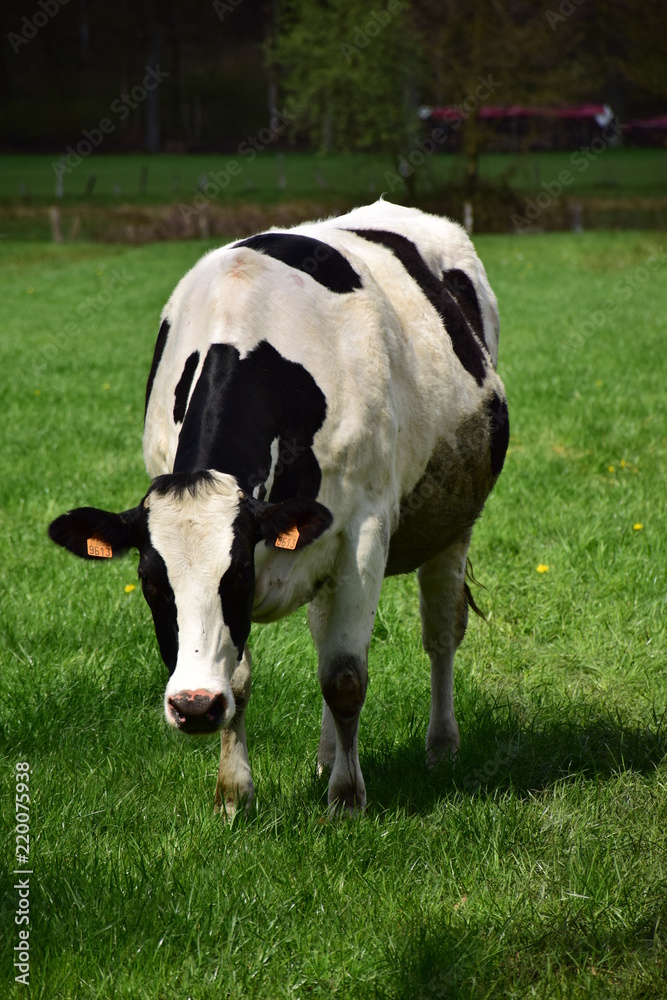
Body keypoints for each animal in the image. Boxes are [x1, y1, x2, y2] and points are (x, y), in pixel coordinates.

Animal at [49, 199, 508, 816]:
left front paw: (347, 798)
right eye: (149, 580)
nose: (193, 706)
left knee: (440, 635)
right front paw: (233, 794)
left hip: (453, 518)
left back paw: (440, 746)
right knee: (325, 632)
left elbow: (345, 676)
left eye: (238, 574)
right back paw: (326, 754)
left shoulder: (364, 531)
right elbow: (243, 679)